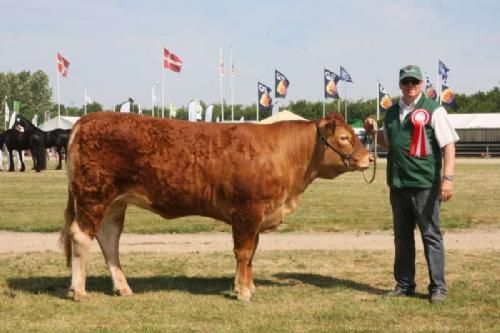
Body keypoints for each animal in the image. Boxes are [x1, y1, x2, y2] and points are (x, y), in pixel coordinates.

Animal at [60, 111, 372, 300]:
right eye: (344, 138)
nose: (369, 158)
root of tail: (87, 120)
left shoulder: (258, 215)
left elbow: (252, 252)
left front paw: (249, 285)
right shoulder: (248, 210)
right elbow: (244, 252)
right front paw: (243, 292)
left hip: (114, 202)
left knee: (109, 239)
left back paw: (123, 287)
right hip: (93, 195)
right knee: (81, 237)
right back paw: (78, 290)